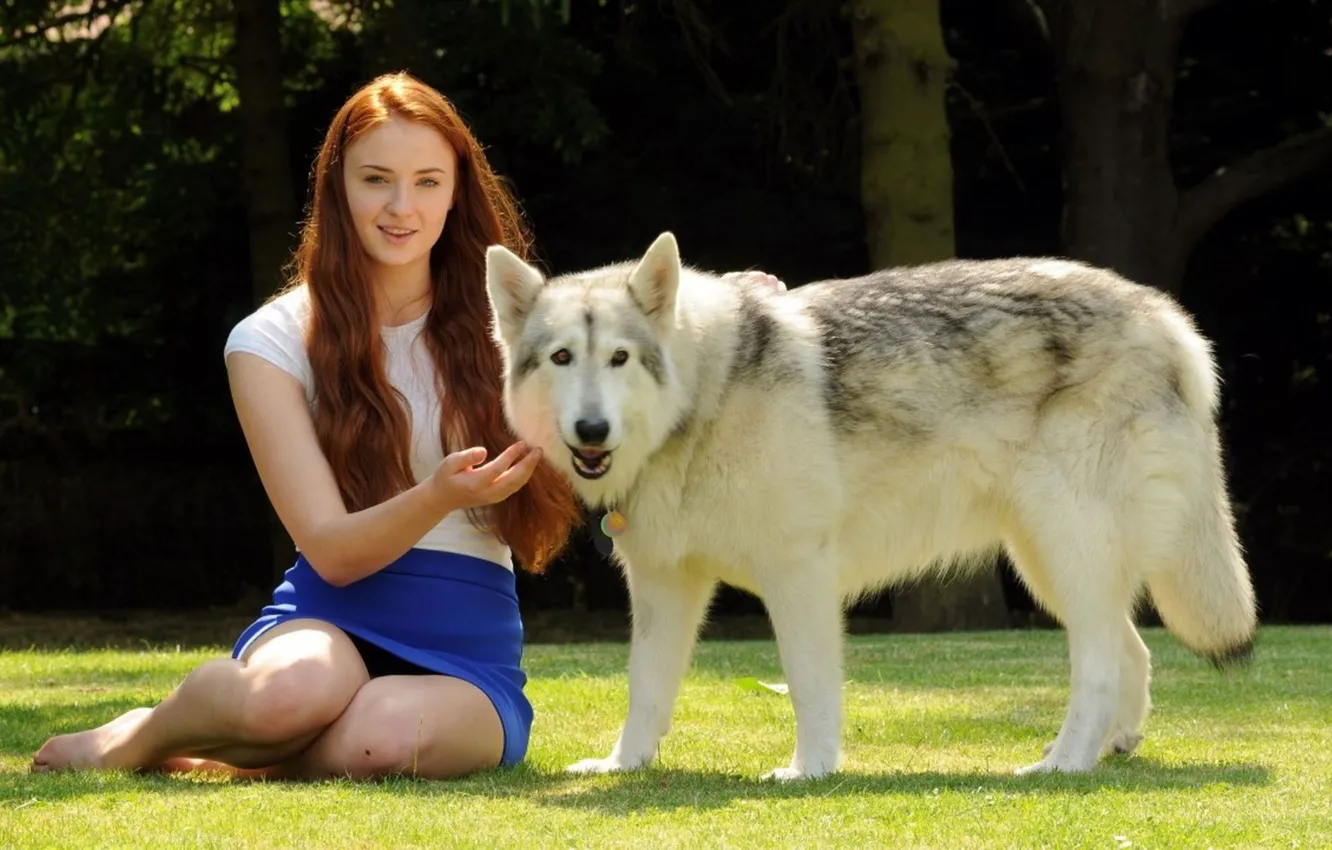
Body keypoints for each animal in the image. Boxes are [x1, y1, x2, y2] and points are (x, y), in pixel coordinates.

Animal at [483, 232, 1258, 780]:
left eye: (618, 358)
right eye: (561, 358)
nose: (590, 431)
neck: (704, 398)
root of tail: (1166, 317)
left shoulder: (798, 574)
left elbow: (808, 686)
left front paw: (809, 771)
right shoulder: (663, 585)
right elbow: (644, 690)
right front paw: (624, 765)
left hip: (1064, 554)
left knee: (1099, 666)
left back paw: (1062, 765)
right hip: (1051, 566)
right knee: (1133, 651)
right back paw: (1105, 750)